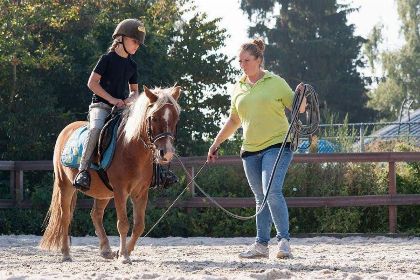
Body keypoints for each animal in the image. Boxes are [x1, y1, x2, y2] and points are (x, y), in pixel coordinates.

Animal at [39, 86, 182, 264]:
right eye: (154, 118)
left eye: (176, 118)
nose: (166, 153)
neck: (131, 148)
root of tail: (67, 130)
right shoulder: (120, 191)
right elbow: (123, 224)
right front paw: (124, 256)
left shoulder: (141, 192)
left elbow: (139, 226)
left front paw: (123, 251)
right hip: (64, 185)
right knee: (65, 217)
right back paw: (66, 254)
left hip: (104, 192)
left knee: (95, 214)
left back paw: (106, 250)